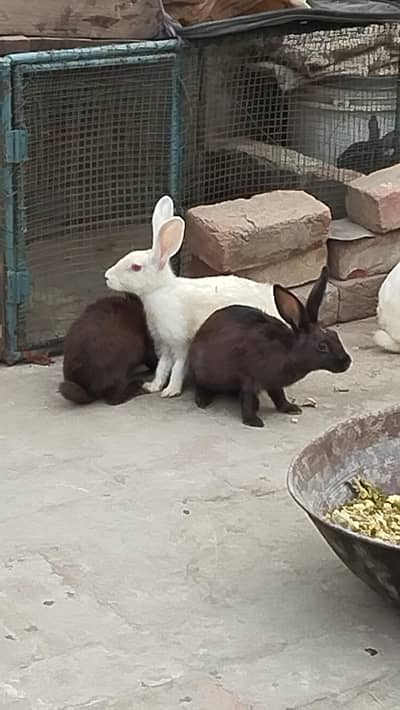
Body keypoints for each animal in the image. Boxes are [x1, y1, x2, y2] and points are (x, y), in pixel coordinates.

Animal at [105, 195, 289, 399]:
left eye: (136, 267)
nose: (107, 276)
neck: (160, 291)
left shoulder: (180, 341)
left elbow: (178, 366)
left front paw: (171, 391)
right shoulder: (164, 343)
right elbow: (163, 366)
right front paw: (152, 386)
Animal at [189, 266, 351, 427]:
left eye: (335, 334)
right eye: (322, 346)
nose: (347, 362)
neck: (289, 351)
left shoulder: (274, 383)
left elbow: (279, 396)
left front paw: (291, 409)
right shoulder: (250, 378)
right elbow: (248, 399)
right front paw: (253, 421)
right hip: (204, 372)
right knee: (201, 385)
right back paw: (203, 401)